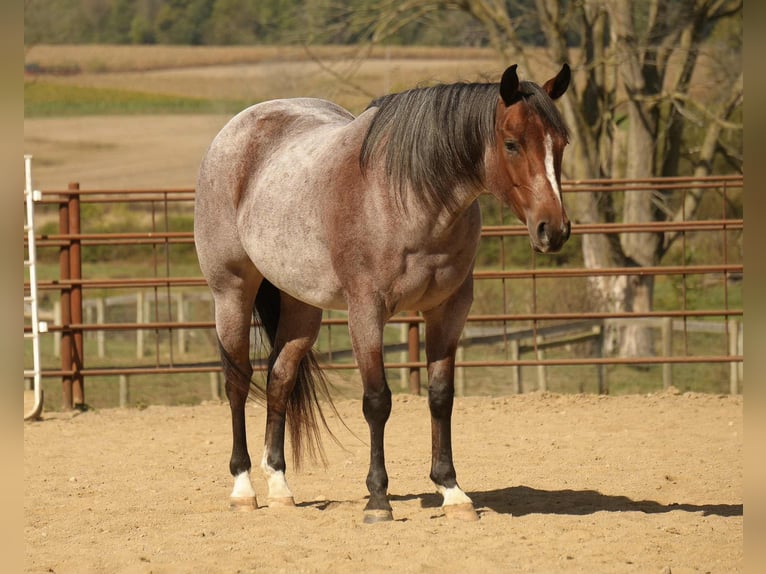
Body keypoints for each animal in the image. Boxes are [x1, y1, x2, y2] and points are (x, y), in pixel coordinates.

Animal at [194, 63, 571, 523]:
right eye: (512, 143)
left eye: (561, 143)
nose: (554, 230)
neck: (407, 197)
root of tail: (235, 131)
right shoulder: (366, 312)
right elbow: (377, 401)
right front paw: (378, 499)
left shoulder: (449, 310)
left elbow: (441, 397)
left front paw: (452, 490)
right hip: (231, 291)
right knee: (237, 380)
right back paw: (243, 487)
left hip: (302, 306)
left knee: (279, 379)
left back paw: (281, 487)